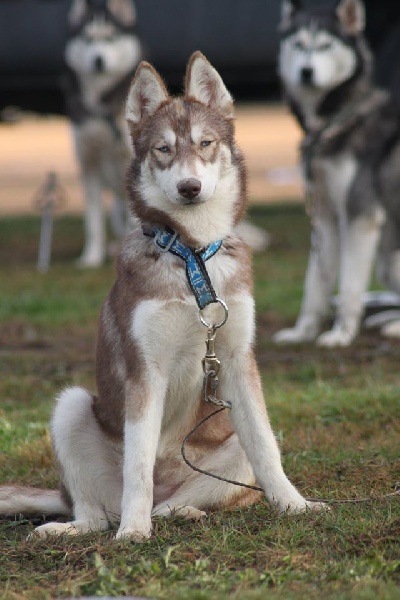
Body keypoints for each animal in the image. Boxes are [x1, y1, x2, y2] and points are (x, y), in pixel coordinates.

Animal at [0, 52, 323, 540]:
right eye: (163, 149)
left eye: (206, 143)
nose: (190, 187)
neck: (193, 257)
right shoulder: (145, 371)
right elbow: (137, 467)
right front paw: (132, 534)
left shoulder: (237, 360)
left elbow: (267, 449)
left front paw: (294, 505)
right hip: (71, 407)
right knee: (98, 513)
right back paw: (77, 527)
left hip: (227, 451)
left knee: (173, 501)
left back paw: (183, 511)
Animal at [64, 0, 142, 267]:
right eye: (88, 39)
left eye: (110, 38)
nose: (98, 60)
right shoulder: (88, 162)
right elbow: (92, 222)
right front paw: (90, 258)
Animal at [274, 0, 400, 346]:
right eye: (298, 43)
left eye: (326, 45)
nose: (306, 72)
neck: (333, 123)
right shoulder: (325, 217)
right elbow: (315, 285)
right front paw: (302, 332)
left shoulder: (359, 216)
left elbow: (349, 286)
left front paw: (341, 334)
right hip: (388, 262)